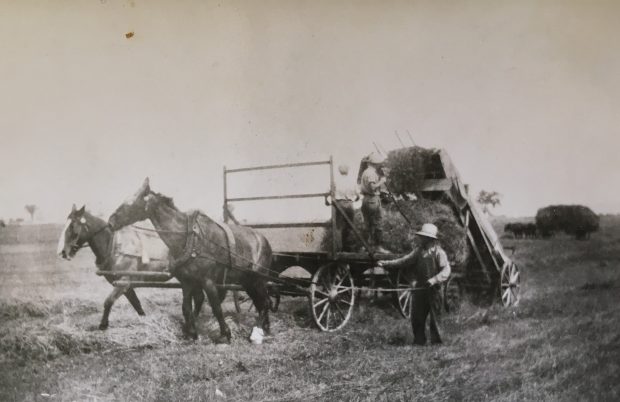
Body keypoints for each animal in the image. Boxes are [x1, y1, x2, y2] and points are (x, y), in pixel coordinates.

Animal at [58, 204, 205, 330]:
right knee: (199, 297)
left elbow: (108, 301)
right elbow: (136, 304)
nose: (63, 252)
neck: (114, 246)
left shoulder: (124, 281)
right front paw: (144, 320)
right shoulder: (125, 285)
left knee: (199, 297)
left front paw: (103, 325)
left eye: (72, 226)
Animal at [107, 179, 274, 342]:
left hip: (258, 279)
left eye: (130, 202)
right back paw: (264, 328)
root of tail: (264, 240)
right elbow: (186, 307)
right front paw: (191, 333)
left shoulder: (208, 281)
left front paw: (225, 334)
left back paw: (257, 332)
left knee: (265, 303)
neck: (190, 239)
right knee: (261, 303)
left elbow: (216, 307)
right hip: (248, 281)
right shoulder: (186, 281)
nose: (110, 222)